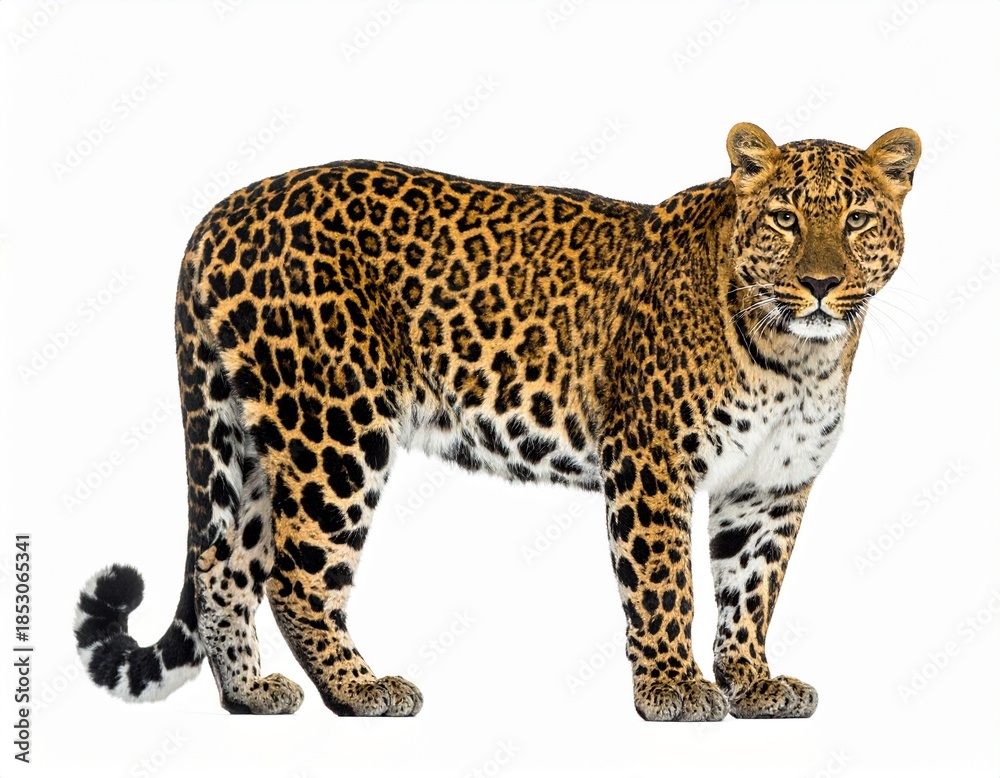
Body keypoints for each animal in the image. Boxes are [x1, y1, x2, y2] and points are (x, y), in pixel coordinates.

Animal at [74, 122, 920, 721]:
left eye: (857, 219)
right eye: (783, 218)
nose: (821, 284)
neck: (798, 356)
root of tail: (226, 209)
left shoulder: (770, 489)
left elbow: (750, 589)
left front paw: (753, 683)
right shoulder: (651, 463)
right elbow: (664, 583)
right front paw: (673, 689)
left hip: (251, 435)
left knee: (224, 565)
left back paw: (251, 693)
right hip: (334, 428)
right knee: (296, 575)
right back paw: (361, 690)